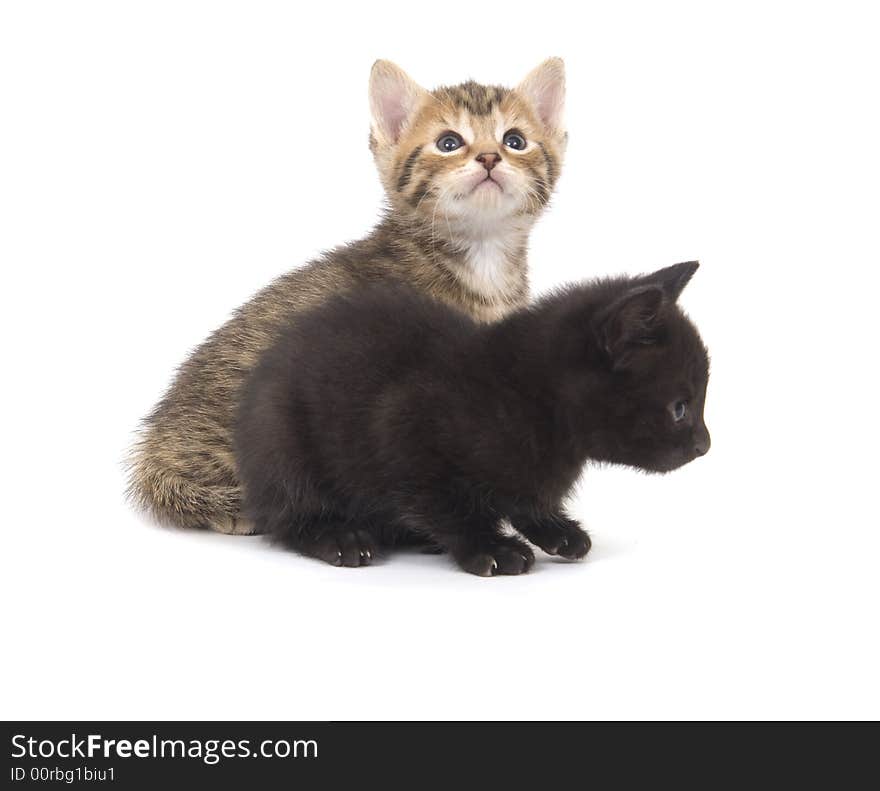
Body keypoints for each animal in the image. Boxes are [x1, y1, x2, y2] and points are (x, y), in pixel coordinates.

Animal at [232, 262, 708, 580]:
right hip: (281, 438)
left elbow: (522, 495)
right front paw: (490, 546)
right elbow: (447, 504)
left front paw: (554, 528)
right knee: (289, 515)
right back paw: (339, 536)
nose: (705, 444)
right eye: (680, 408)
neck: (526, 397)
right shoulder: (403, 427)